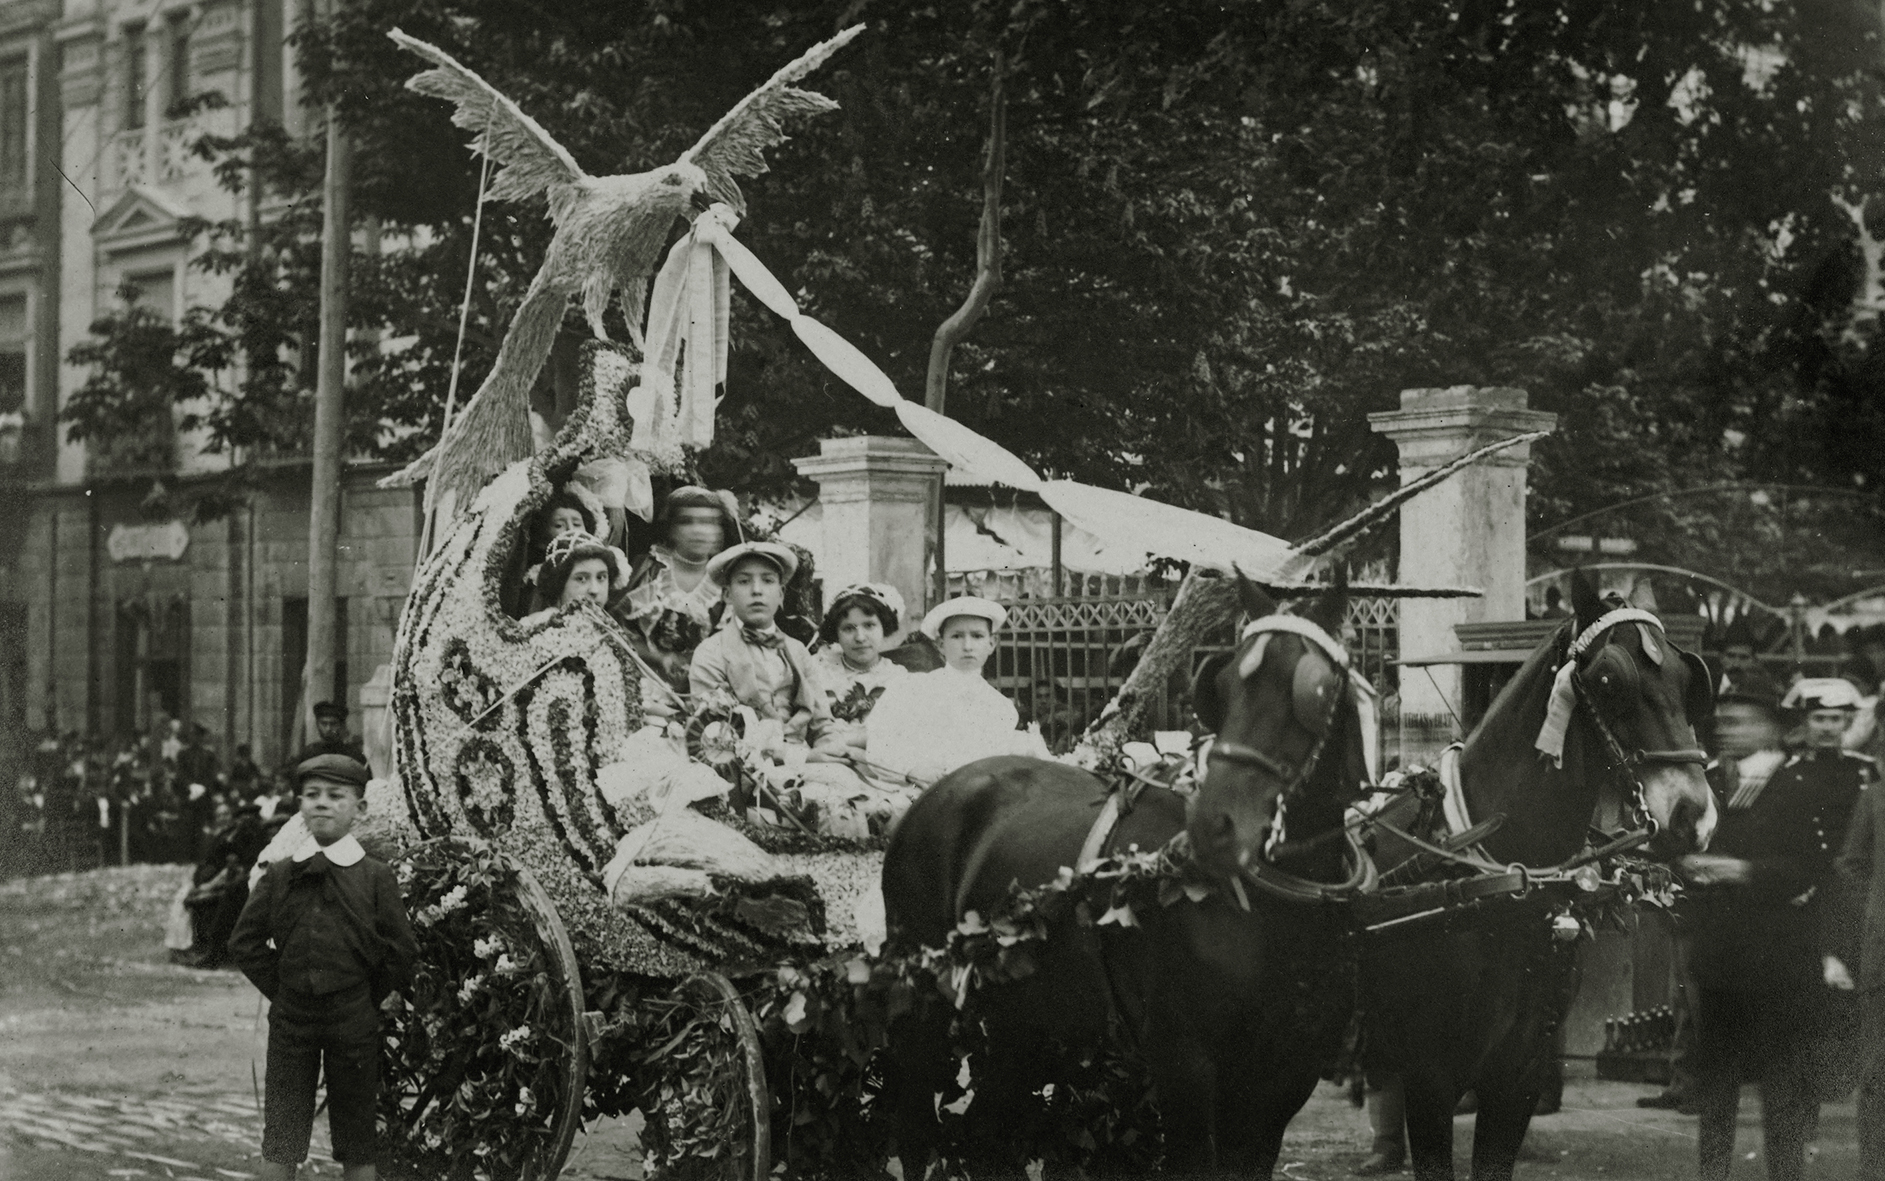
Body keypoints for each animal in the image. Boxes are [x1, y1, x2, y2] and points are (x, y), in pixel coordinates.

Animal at [874, 580, 1379, 1181]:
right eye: (1224, 685)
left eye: (1315, 690)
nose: (1216, 825)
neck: (1274, 904)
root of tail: (935, 793)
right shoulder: (1185, 1060)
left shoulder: (1287, 1073)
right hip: (924, 1003)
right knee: (915, 1132)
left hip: (1027, 1020)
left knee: (985, 1134)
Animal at [1364, 568, 1719, 1175]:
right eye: (1608, 678)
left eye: (1686, 676)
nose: (1693, 815)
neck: (1500, 884)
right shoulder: (1430, 1078)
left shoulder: (1518, 1076)